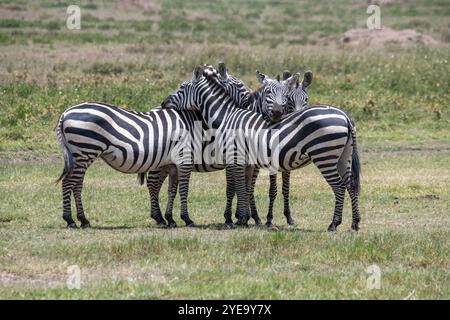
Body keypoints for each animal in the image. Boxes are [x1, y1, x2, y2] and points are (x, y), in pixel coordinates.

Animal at [55, 102, 200, 228]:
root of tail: (65, 113)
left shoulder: (173, 163)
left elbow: (172, 190)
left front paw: (170, 219)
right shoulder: (184, 158)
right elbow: (184, 189)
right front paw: (187, 219)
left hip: (81, 156)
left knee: (76, 185)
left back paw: (83, 220)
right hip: (84, 151)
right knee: (68, 183)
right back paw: (70, 220)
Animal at [162, 66, 362, 231]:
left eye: (181, 87)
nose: (163, 103)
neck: (227, 117)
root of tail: (345, 116)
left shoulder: (236, 158)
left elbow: (239, 188)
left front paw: (241, 219)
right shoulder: (247, 162)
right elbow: (245, 188)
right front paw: (245, 218)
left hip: (325, 156)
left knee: (339, 186)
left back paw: (334, 224)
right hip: (343, 157)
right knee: (350, 185)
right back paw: (355, 223)